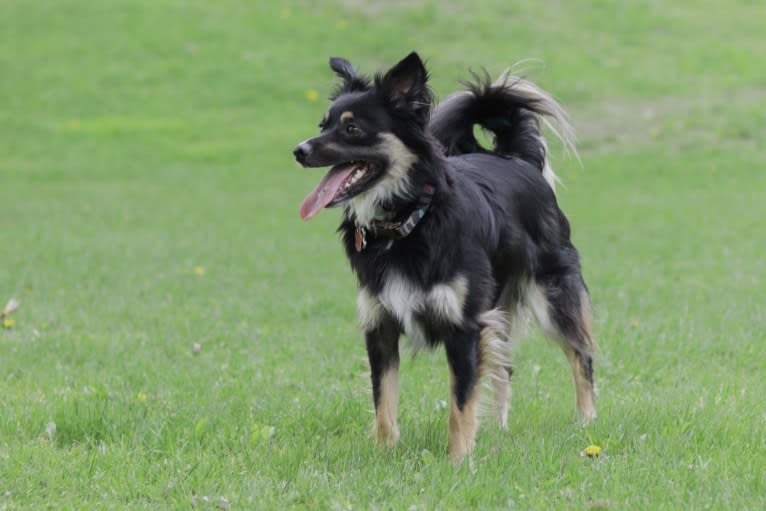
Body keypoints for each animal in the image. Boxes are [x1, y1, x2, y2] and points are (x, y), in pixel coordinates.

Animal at [292, 52, 596, 460]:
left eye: (352, 128)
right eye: (323, 125)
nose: (299, 151)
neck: (408, 221)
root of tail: (516, 159)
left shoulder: (464, 325)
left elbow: (461, 401)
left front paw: (459, 459)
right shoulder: (380, 326)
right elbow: (383, 401)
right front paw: (384, 454)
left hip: (552, 294)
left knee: (581, 353)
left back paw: (586, 419)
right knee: (504, 366)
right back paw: (498, 426)